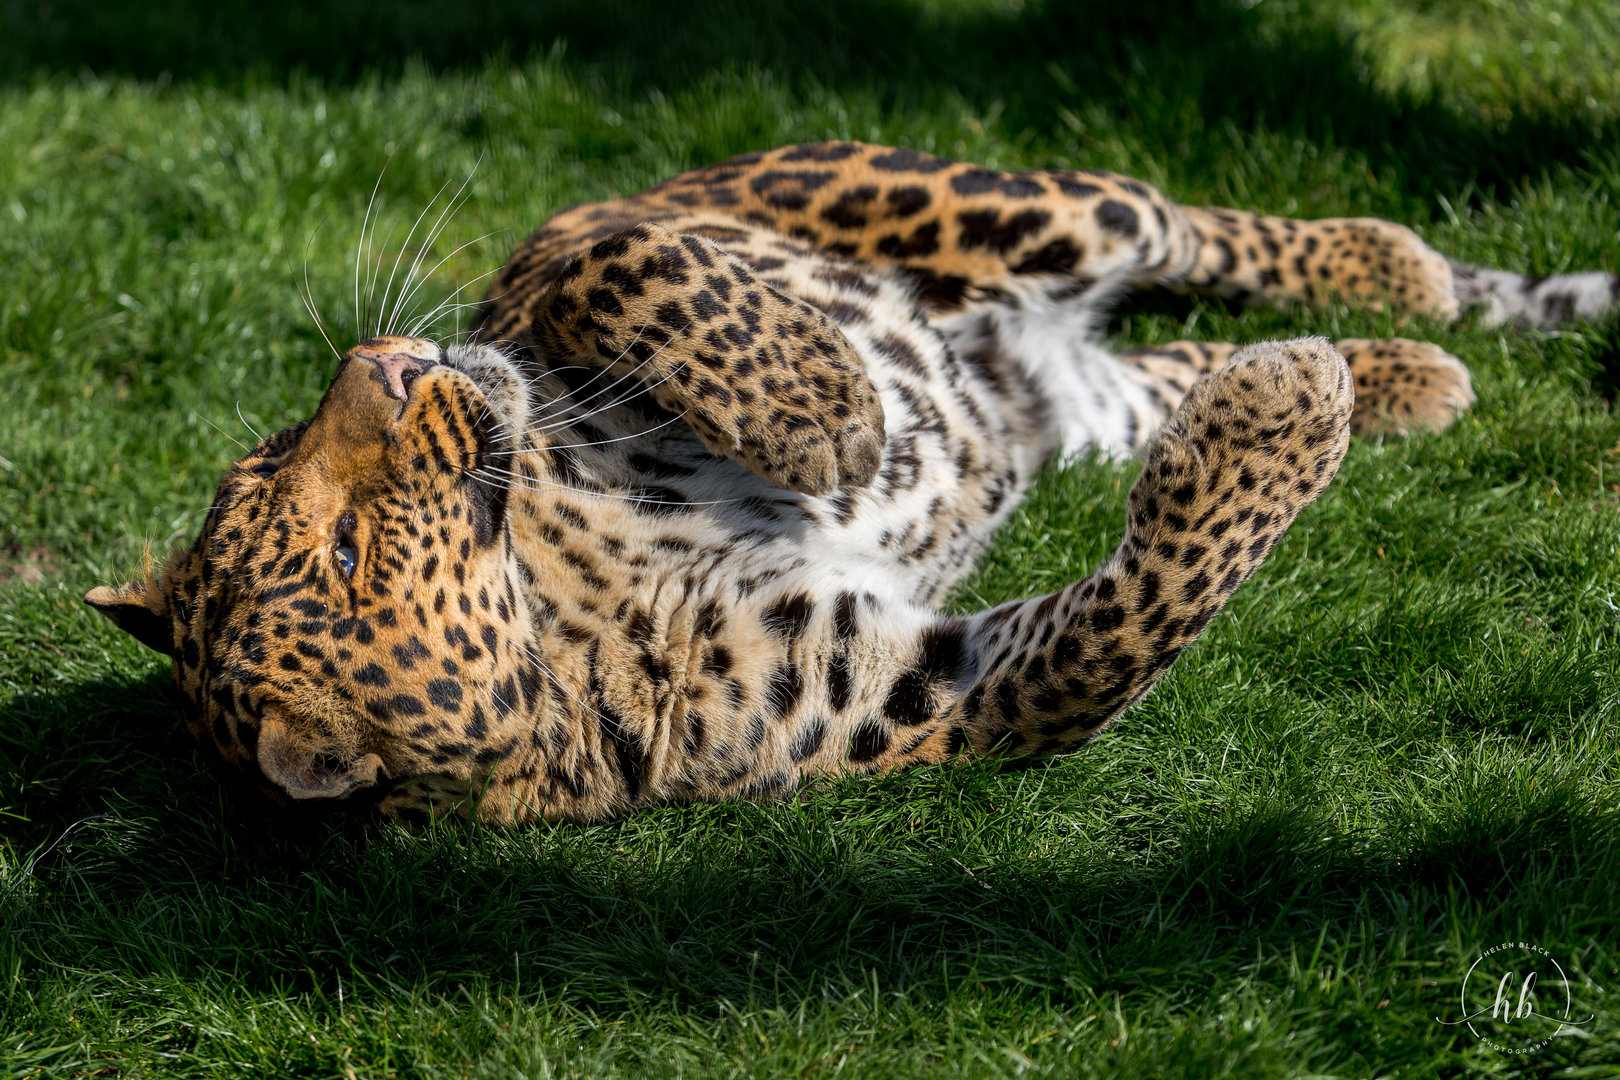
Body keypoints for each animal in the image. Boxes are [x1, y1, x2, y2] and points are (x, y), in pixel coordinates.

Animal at [85, 141, 1620, 826]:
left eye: (273, 461)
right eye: (344, 555)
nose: (383, 363)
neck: (560, 580)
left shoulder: (552, 264)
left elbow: (625, 264)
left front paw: (820, 410)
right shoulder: (912, 696)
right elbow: (1122, 631)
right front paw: (1283, 423)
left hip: (1008, 203)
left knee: (1192, 225)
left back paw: (1395, 278)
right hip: (1074, 386)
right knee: (1160, 360)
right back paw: (1372, 371)